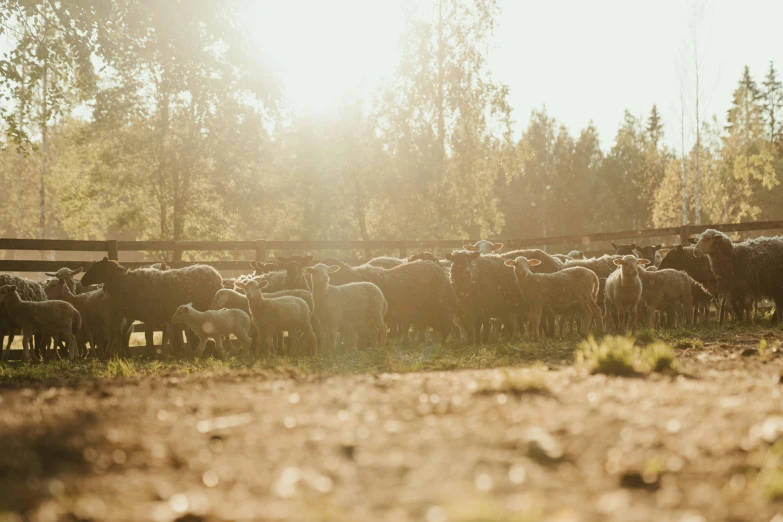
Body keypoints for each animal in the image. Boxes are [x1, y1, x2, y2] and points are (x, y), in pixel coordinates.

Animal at [81, 256, 222, 356]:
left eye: (96, 268)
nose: (82, 281)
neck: (123, 282)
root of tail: (216, 273)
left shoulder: (148, 315)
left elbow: (147, 335)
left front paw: (149, 354)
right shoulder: (148, 316)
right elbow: (148, 335)